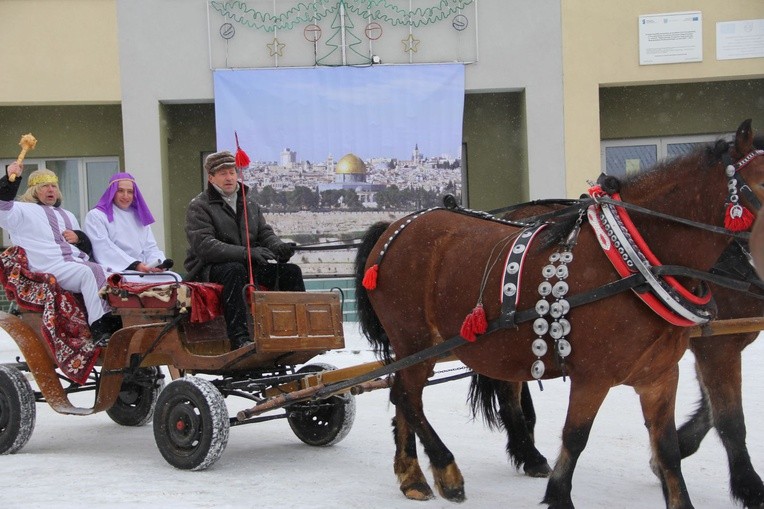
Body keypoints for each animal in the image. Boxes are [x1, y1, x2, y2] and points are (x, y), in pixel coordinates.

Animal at [356, 120, 764, 508]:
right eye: (760, 182)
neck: (637, 262)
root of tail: (394, 226)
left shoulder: (660, 376)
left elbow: (669, 449)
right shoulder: (596, 376)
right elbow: (576, 437)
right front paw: (558, 495)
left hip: (424, 347)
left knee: (406, 395)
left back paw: (413, 476)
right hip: (414, 339)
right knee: (408, 397)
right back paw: (446, 470)